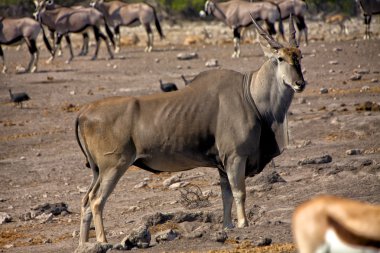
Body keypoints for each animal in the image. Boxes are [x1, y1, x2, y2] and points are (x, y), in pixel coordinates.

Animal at [75, 14, 306, 246]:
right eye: (280, 59)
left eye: (300, 56)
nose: (299, 83)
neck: (249, 94)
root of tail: (83, 111)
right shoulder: (235, 157)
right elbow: (239, 192)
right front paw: (243, 224)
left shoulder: (222, 164)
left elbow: (226, 196)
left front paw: (228, 226)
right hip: (114, 166)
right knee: (96, 200)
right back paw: (103, 240)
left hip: (98, 170)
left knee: (85, 200)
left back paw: (84, 243)